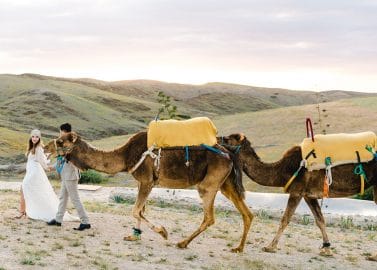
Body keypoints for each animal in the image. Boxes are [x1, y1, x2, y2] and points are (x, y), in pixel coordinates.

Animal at [44, 116, 253, 253]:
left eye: (60, 141)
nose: (45, 147)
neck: (125, 155)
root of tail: (229, 153)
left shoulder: (146, 180)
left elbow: (136, 210)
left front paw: (163, 232)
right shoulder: (142, 181)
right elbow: (140, 210)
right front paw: (134, 235)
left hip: (209, 184)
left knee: (209, 217)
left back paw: (182, 243)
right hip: (226, 184)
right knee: (247, 213)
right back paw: (238, 248)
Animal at [219, 119, 376, 258]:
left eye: (227, 139)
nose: (217, 138)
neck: (282, 170)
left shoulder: (297, 190)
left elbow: (285, 218)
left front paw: (270, 247)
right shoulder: (308, 194)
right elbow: (320, 220)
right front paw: (327, 249)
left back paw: (373, 256)